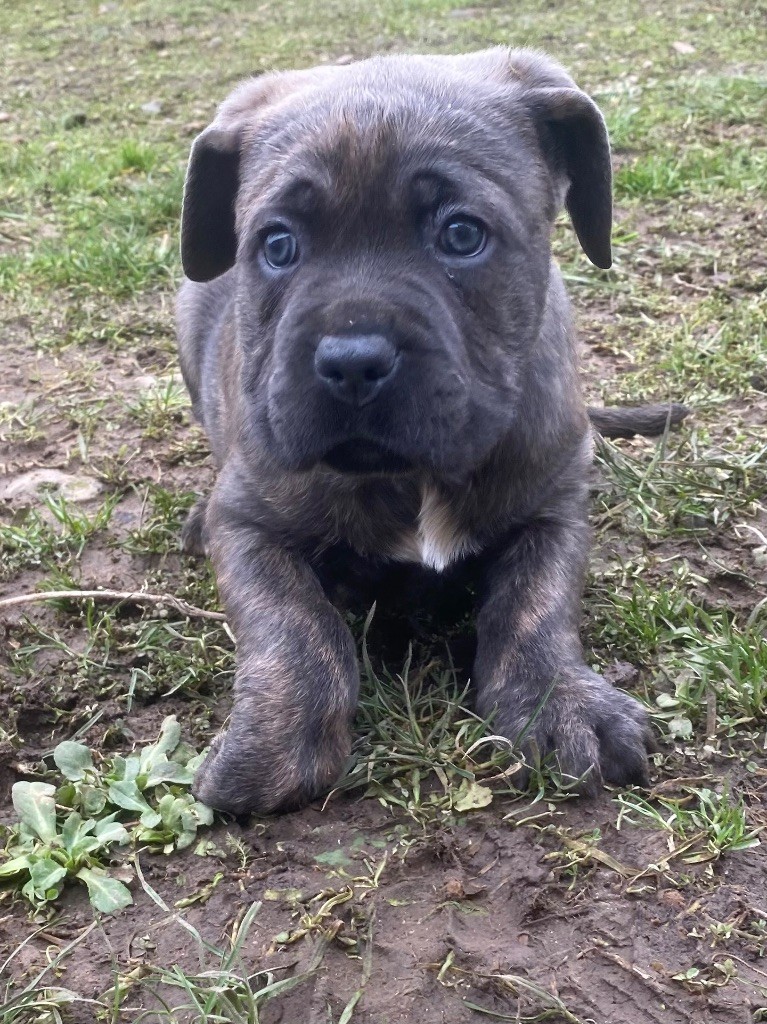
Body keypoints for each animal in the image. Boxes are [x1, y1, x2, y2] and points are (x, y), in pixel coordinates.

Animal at [178, 49, 688, 815]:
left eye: (461, 235)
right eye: (277, 246)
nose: (351, 361)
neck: (410, 476)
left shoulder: (555, 510)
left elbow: (534, 606)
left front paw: (559, 702)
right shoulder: (245, 523)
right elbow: (294, 623)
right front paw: (275, 743)